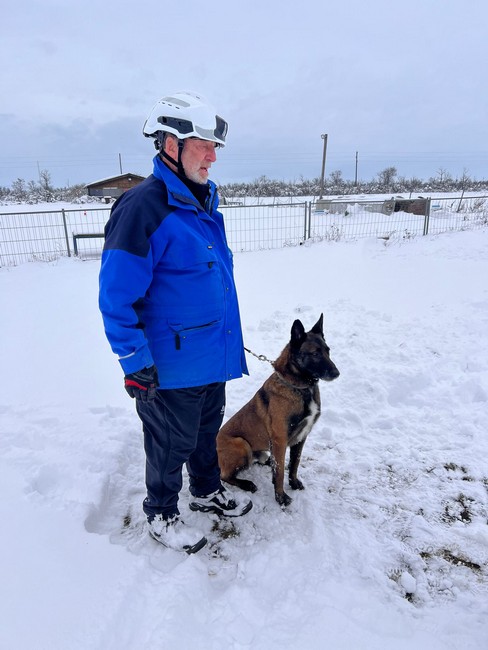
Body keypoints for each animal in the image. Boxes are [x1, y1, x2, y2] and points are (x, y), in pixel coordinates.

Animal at [217, 314, 340, 506]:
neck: (300, 387)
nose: (336, 373)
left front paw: (293, 483)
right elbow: (281, 471)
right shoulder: (280, 439)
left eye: (328, 351)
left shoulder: (301, 437)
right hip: (241, 444)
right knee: (224, 475)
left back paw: (266, 462)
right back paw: (247, 484)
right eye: (315, 353)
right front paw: (281, 497)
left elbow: (294, 464)